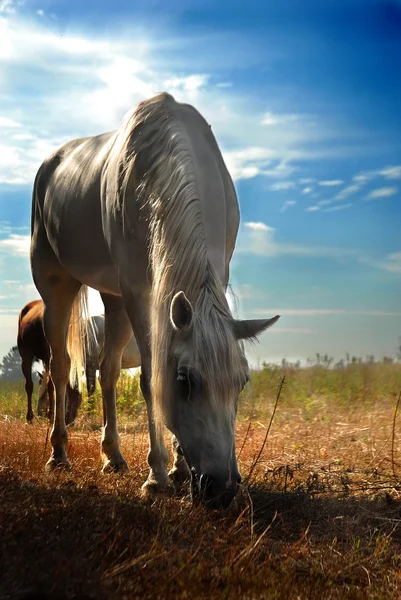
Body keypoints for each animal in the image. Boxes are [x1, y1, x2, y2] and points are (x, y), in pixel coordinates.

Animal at [30, 91, 278, 508]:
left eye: (242, 381)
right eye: (185, 380)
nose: (223, 488)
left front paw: (179, 469)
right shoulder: (138, 291)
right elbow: (150, 379)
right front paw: (158, 475)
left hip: (112, 300)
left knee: (108, 371)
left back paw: (113, 456)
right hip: (57, 288)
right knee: (61, 369)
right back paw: (58, 454)